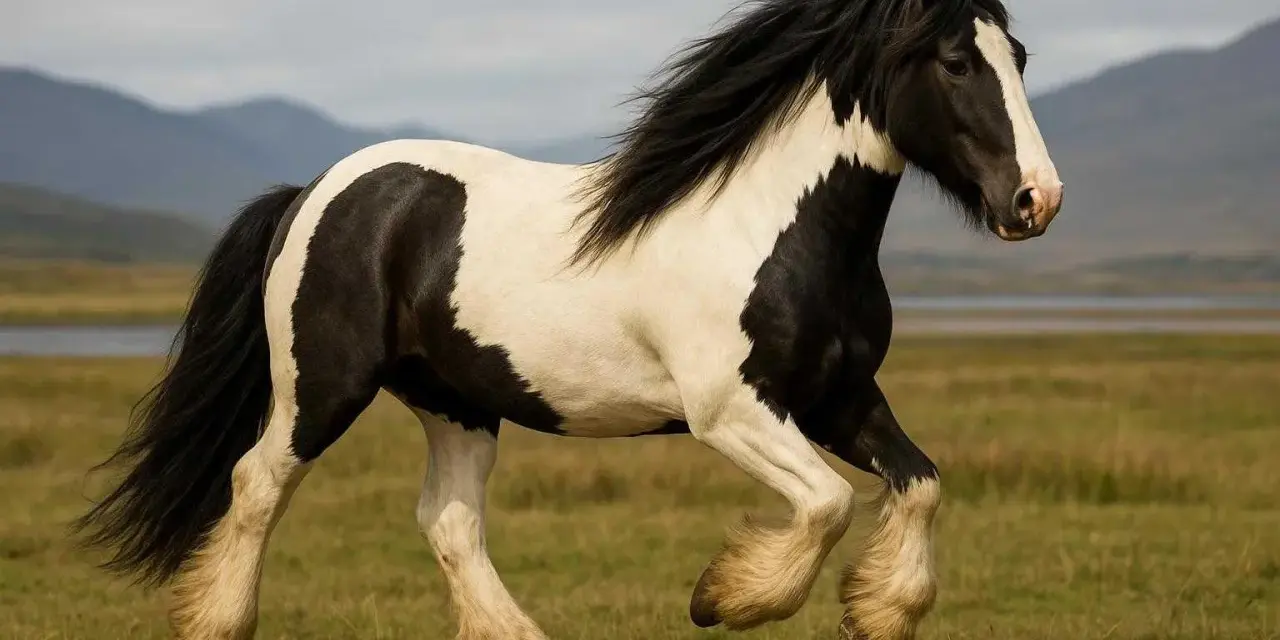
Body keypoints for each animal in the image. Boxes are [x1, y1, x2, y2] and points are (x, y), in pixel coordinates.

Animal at [74, 0, 1062, 637]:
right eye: (955, 62)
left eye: (1018, 55)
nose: (1035, 200)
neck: (777, 228)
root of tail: (316, 189)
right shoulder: (730, 411)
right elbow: (825, 504)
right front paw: (722, 599)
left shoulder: (840, 399)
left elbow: (919, 482)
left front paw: (875, 609)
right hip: (320, 391)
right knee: (255, 486)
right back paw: (217, 621)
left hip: (459, 403)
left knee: (449, 523)